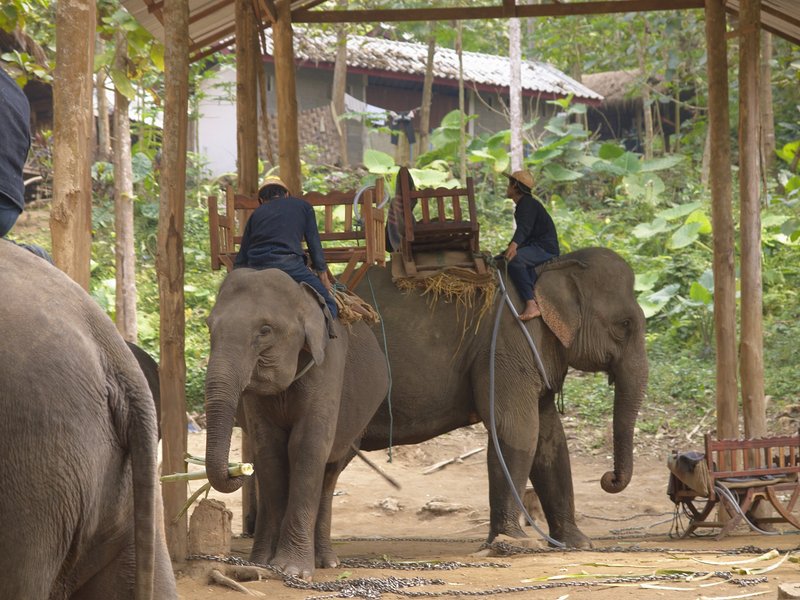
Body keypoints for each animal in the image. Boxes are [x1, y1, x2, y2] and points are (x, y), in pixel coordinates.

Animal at [204, 267, 389, 580]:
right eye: (208, 327)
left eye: (265, 330)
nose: (235, 470)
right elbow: (270, 447)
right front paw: (267, 564)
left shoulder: (328, 364)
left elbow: (307, 445)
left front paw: (292, 570)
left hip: (358, 424)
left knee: (330, 472)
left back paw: (326, 562)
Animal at [353, 246, 648, 548]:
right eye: (624, 324)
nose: (609, 478)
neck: (548, 268)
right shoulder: (509, 342)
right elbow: (517, 429)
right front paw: (513, 541)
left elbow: (550, 437)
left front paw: (576, 543)